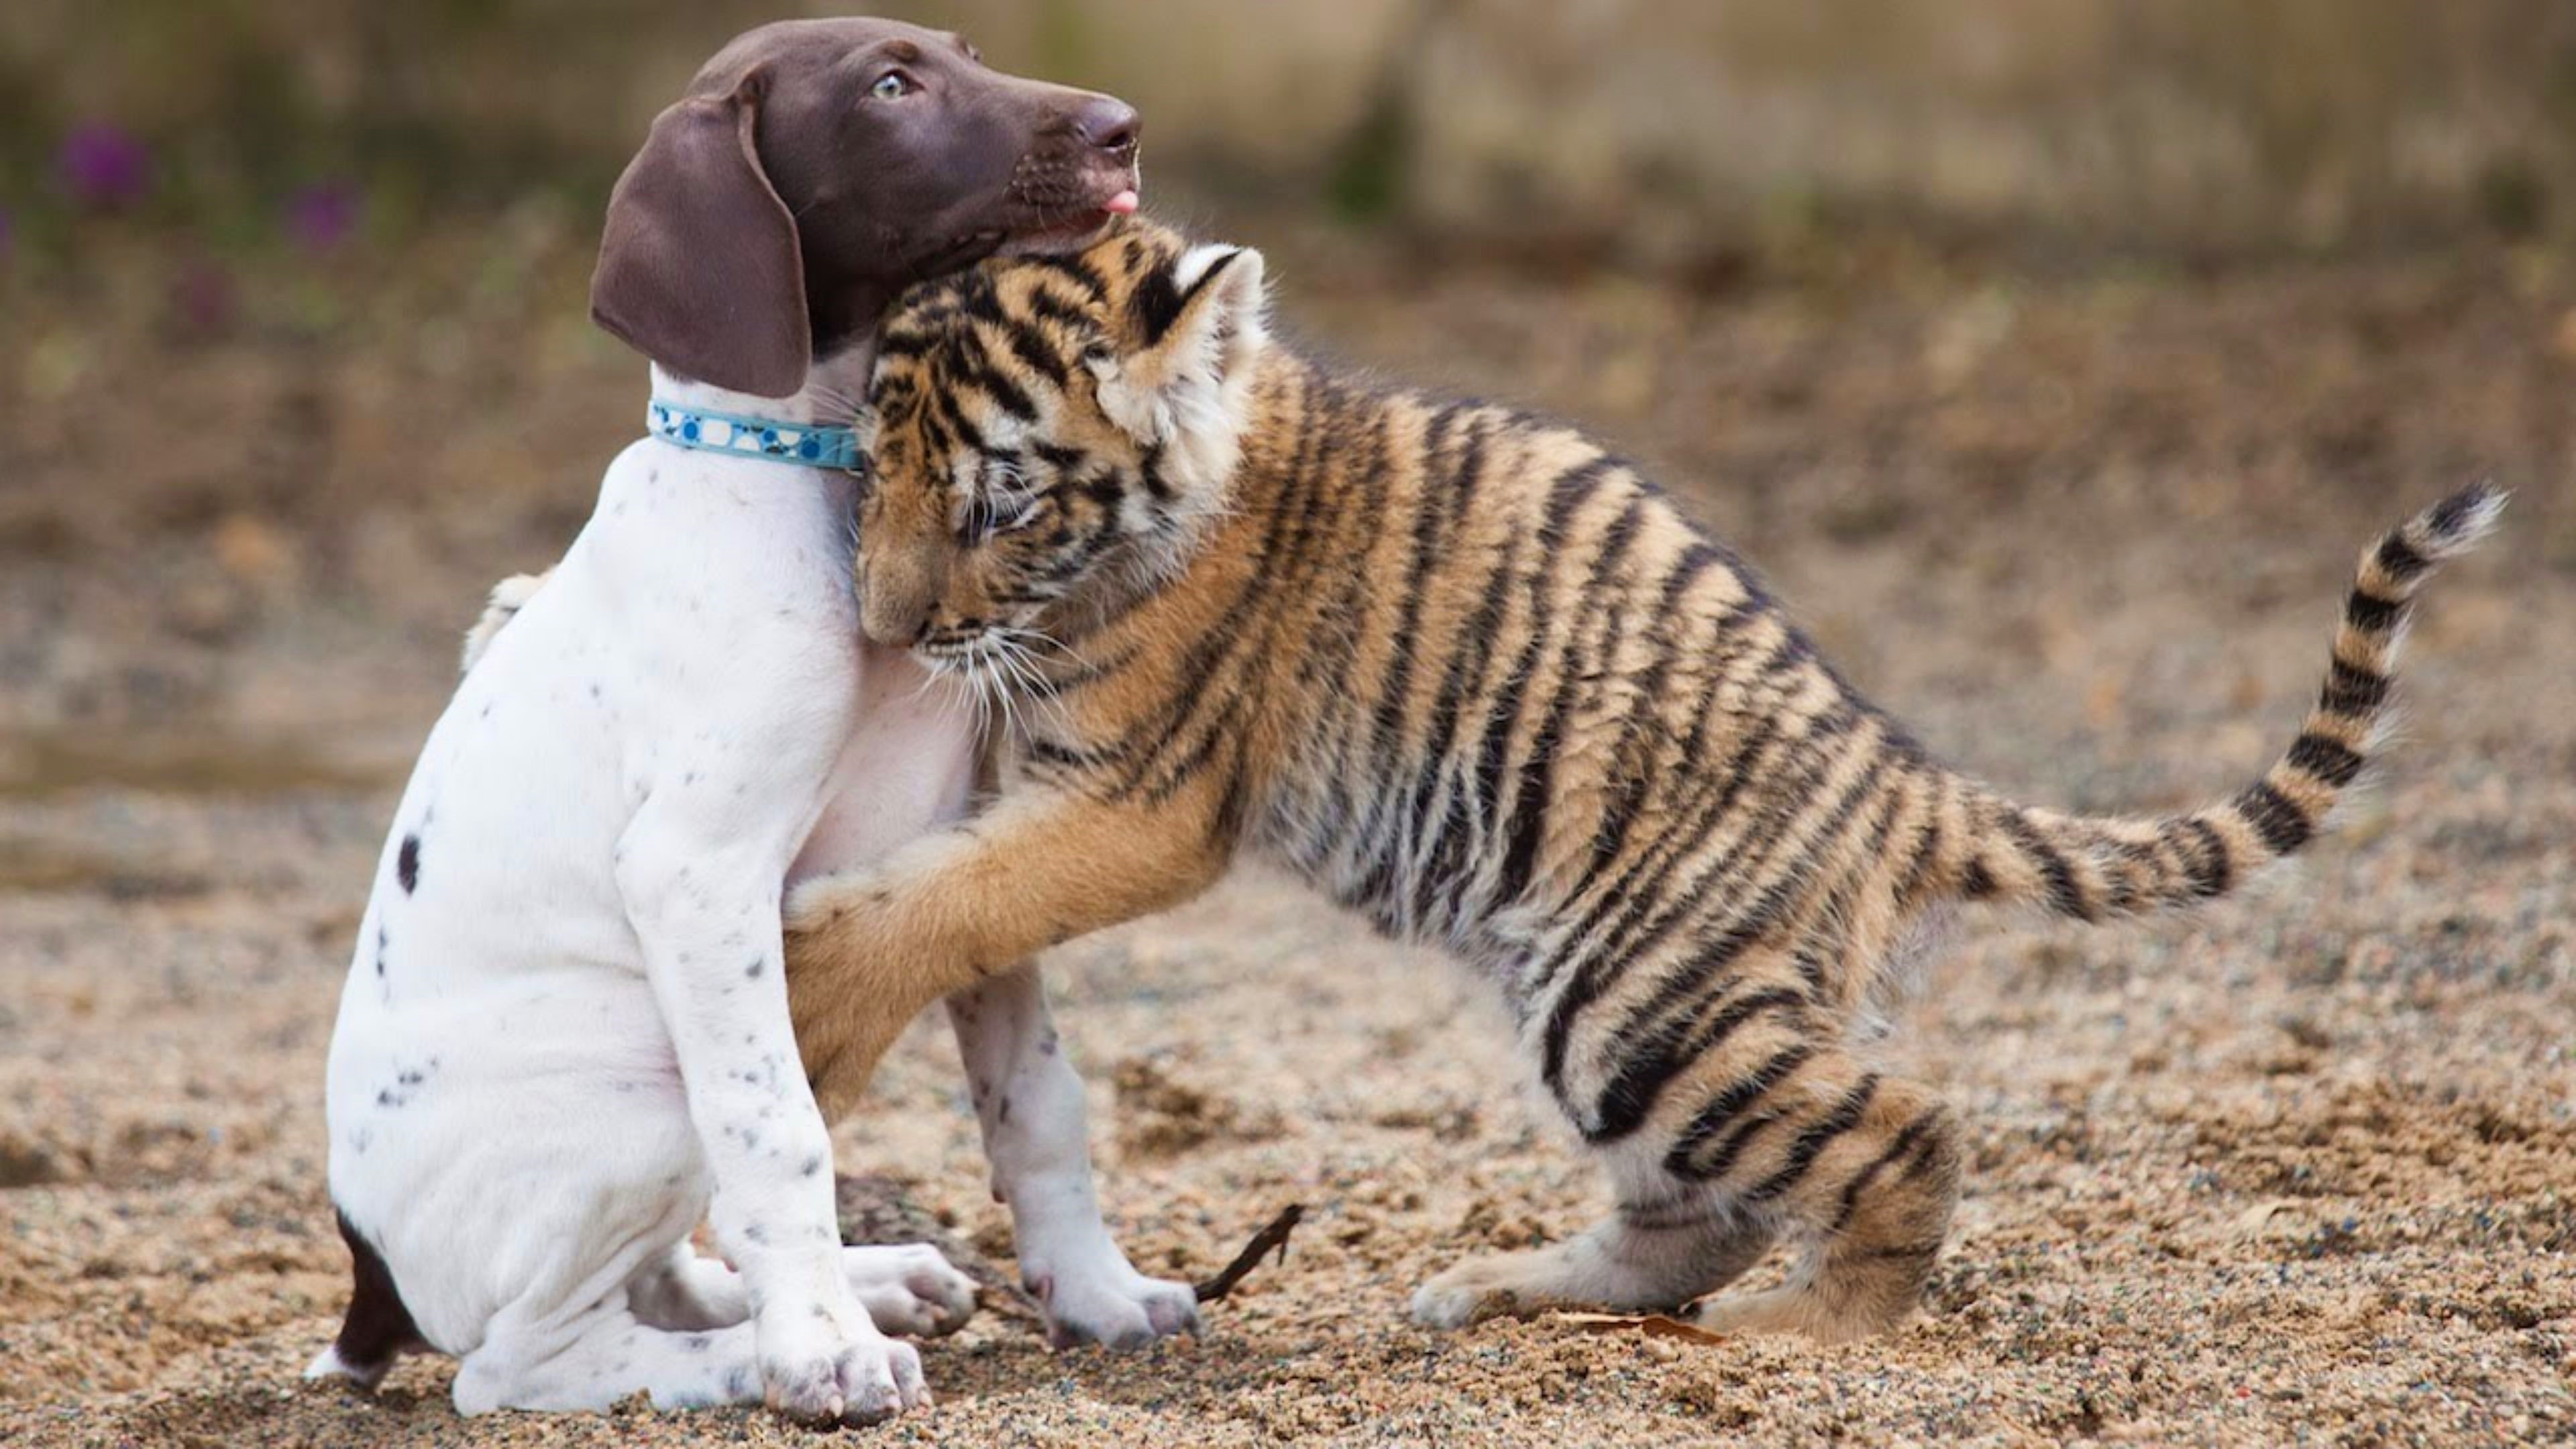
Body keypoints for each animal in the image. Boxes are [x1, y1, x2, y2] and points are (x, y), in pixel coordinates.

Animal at [306, 22, 1190, 1423]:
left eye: (964, 51)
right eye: (891, 87)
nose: (1122, 127)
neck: (814, 481)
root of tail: (369, 1272)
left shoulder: (969, 843)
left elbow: (1035, 1100)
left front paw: (1096, 1292)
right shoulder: (698, 873)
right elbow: (780, 1134)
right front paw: (821, 1352)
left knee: (658, 1274)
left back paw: (863, 1288)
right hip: (639, 1103)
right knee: (521, 1362)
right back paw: (762, 1353)